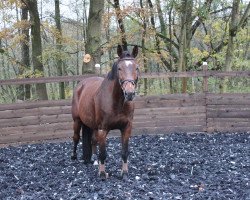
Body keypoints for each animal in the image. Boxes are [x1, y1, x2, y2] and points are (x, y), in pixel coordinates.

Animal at [71, 45, 140, 180]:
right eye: (119, 68)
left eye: (136, 67)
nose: (129, 94)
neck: (116, 102)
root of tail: (81, 85)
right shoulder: (103, 130)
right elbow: (103, 153)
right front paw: (102, 173)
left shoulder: (126, 128)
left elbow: (124, 152)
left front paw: (124, 172)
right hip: (77, 121)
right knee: (76, 137)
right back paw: (74, 156)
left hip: (92, 125)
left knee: (93, 140)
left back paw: (93, 159)